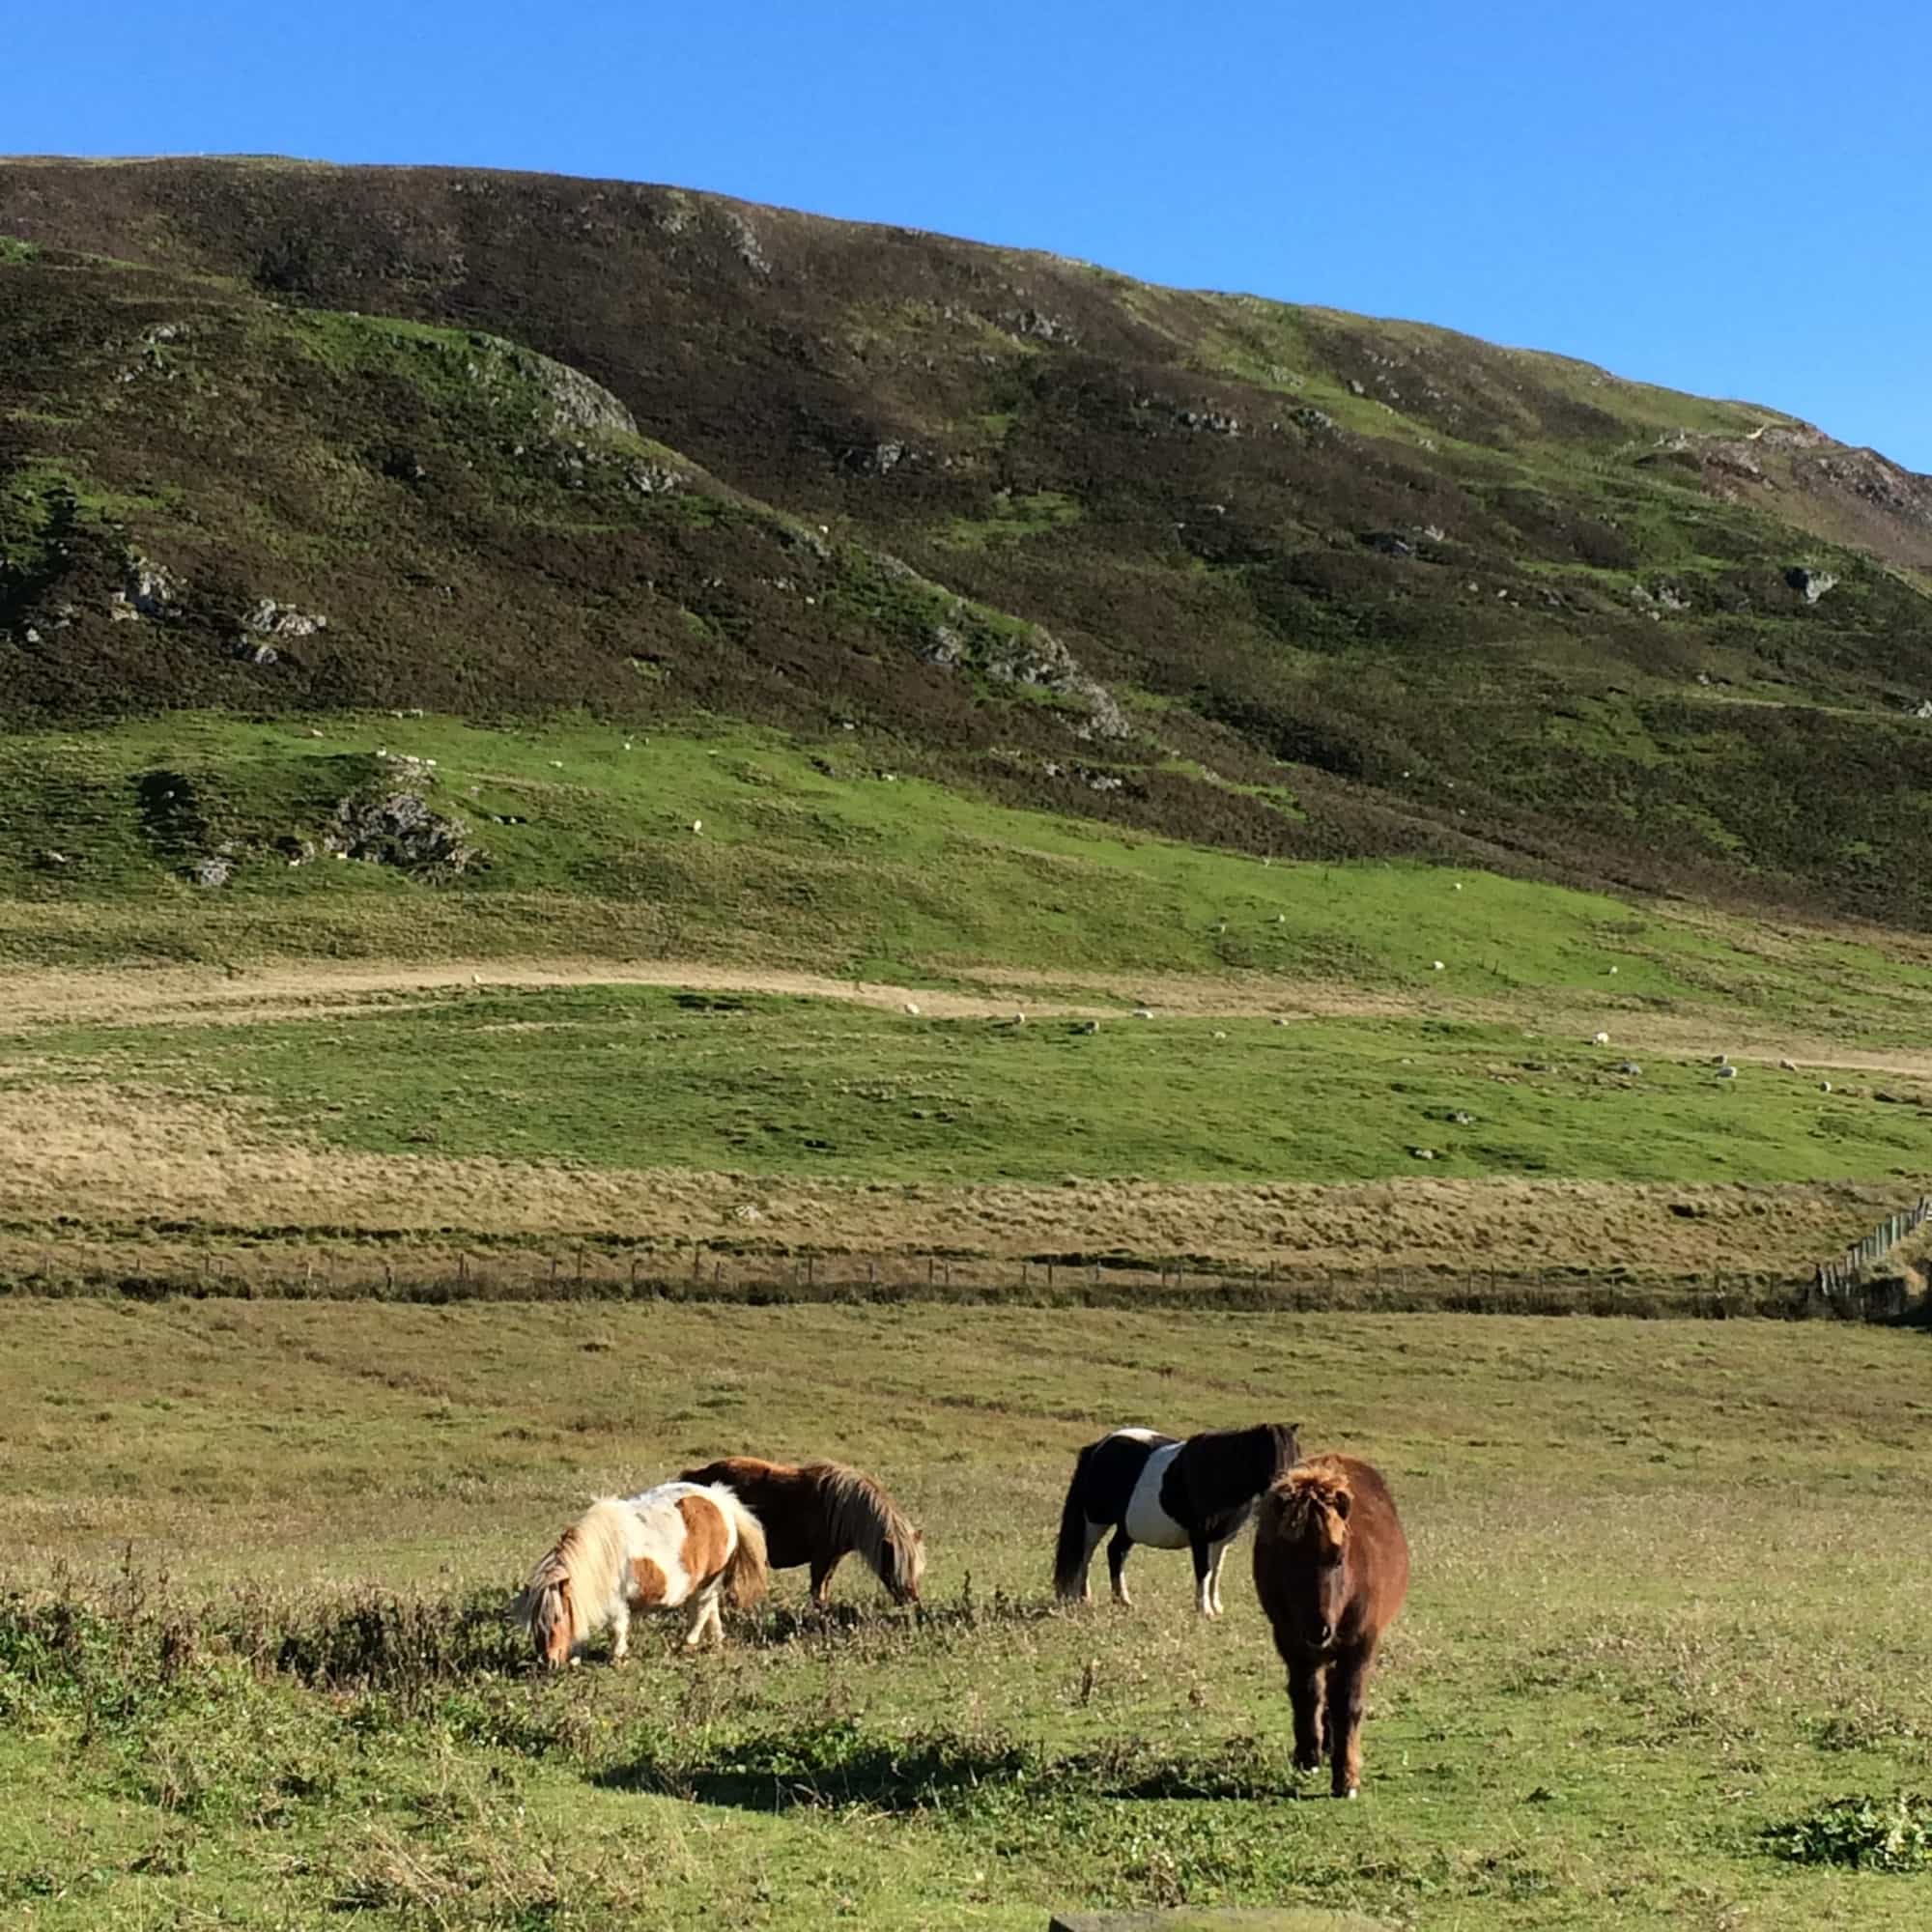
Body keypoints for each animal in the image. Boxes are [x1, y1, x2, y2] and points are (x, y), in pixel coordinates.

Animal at [517, 1481, 768, 1667]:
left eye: (557, 1618)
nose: (547, 1661)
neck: (603, 1552)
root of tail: (720, 1499)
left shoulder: (617, 1601)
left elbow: (617, 1628)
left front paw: (617, 1658)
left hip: (706, 1584)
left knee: (702, 1611)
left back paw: (688, 1643)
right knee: (710, 1610)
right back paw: (714, 1642)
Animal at [677, 1455, 925, 1605]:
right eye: (894, 1565)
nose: (911, 1600)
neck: (841, 1507)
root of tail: (695, 1475)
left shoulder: (832, 1559)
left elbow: (823, 1588)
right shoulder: (821, 1558)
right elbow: (817, 1591)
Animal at [1053, 1422, 1301, 1615]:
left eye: (1295, 1456)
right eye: (1271, 1456)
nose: (1286, 1494)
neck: (1218, 1475)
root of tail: (1098, 1447)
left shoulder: (1223, 1538)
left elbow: (1216, 1571)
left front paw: (1216, 1607)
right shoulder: (1200, 1537)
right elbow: (1204, 1570)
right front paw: (1204, 1609)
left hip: (1127, 1526)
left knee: (1115, 1552)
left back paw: (1123, 1601)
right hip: (1096, 1520)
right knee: (1085, 1555)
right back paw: (1083, 1598)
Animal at [1251, 1453, 1409, 1798]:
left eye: (1338, 1558)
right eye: (1287, 1558)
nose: (1318, 1629)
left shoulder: (1360, 1646)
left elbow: (1347, 1704)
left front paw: (1346, 1777)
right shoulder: (1290, 1642)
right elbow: (1307, 1694)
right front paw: (1308, 1756)